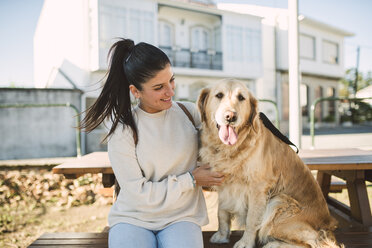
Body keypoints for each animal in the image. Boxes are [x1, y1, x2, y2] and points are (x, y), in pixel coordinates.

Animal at [198, 79, 340, 248]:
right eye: (219, 95)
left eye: (241, 98)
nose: (230, 116)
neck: (231, 148)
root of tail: (328, 226)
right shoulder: (224, 185)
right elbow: (222, 212)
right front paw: (221, 235)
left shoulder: (258, 188)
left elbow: (251, 220)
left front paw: (245, 242)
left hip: (279, 202)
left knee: (312, 243)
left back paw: (273, 244)